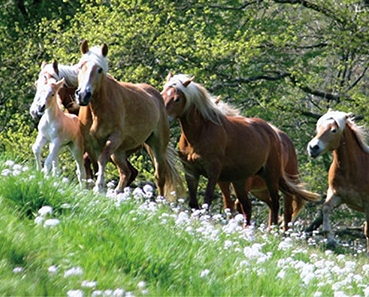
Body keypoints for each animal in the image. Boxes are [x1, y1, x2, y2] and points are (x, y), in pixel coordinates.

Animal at [74, 40, 182, 197]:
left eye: (99, 70)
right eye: (81, 67)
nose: (83, 95)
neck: (97, 110)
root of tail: (157, 96)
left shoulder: (114, 138)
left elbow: (101, 159)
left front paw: (98, 187)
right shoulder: (90, 142)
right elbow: (93, 163)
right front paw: (92, 186)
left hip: (156, 147)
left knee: (159, 176)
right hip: (119, 152)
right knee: (126, 172)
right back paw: (118, 192)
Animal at [161, 73, 320, 225]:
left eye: (177, 99)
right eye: (162, 93)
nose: (164, 118)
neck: (200, 132)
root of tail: (273, 132)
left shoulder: (213, 172)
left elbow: (207, 200)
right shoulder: (191, 171)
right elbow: (195, 203)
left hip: (271, 176)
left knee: (276, 205)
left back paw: (273, 230)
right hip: (240, 181)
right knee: (247, 207)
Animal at [306, 108, 368, 252]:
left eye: (334, 130)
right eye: (318, 127)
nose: (313, 147)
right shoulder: (336, 194)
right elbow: (325, 208)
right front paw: (331, 241)